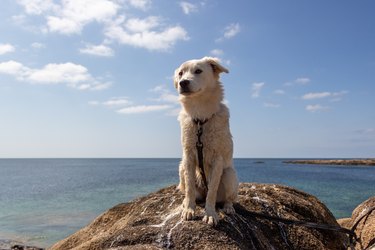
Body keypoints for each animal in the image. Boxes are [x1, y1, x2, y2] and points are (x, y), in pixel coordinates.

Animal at [175, 57, 239, 227]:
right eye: (180, 73)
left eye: (198, 71)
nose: (183, 82)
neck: (200, 118)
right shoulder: (188, 157)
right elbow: (190, 188)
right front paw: (189, 209)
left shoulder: (218, 160)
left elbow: (212, 192)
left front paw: (210, 214)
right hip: (181, 166)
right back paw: (185, 203)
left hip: (229, 175)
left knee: (227, 198)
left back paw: (228, 207)